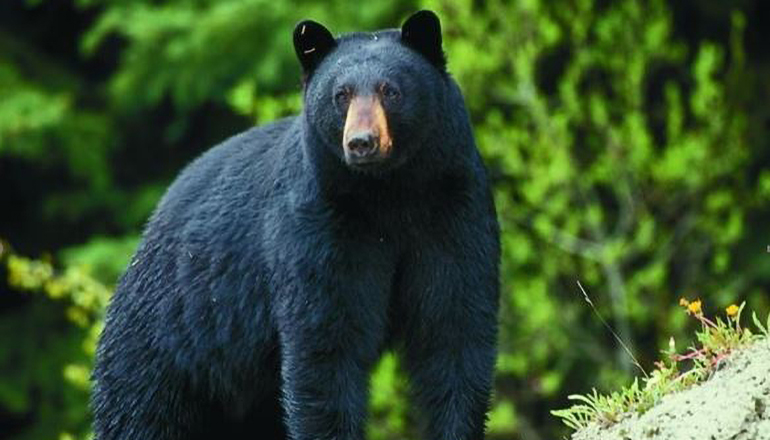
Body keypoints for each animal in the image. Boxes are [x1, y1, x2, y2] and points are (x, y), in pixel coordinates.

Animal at [91, 10, 498, 440]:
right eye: (341, 95)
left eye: (391, 91)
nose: (362, 142)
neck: (389, 193)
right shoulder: (318, 226)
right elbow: (325, 346)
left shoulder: (453, 212)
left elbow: (454, 330)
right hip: (167, 342)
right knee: (140, 414)